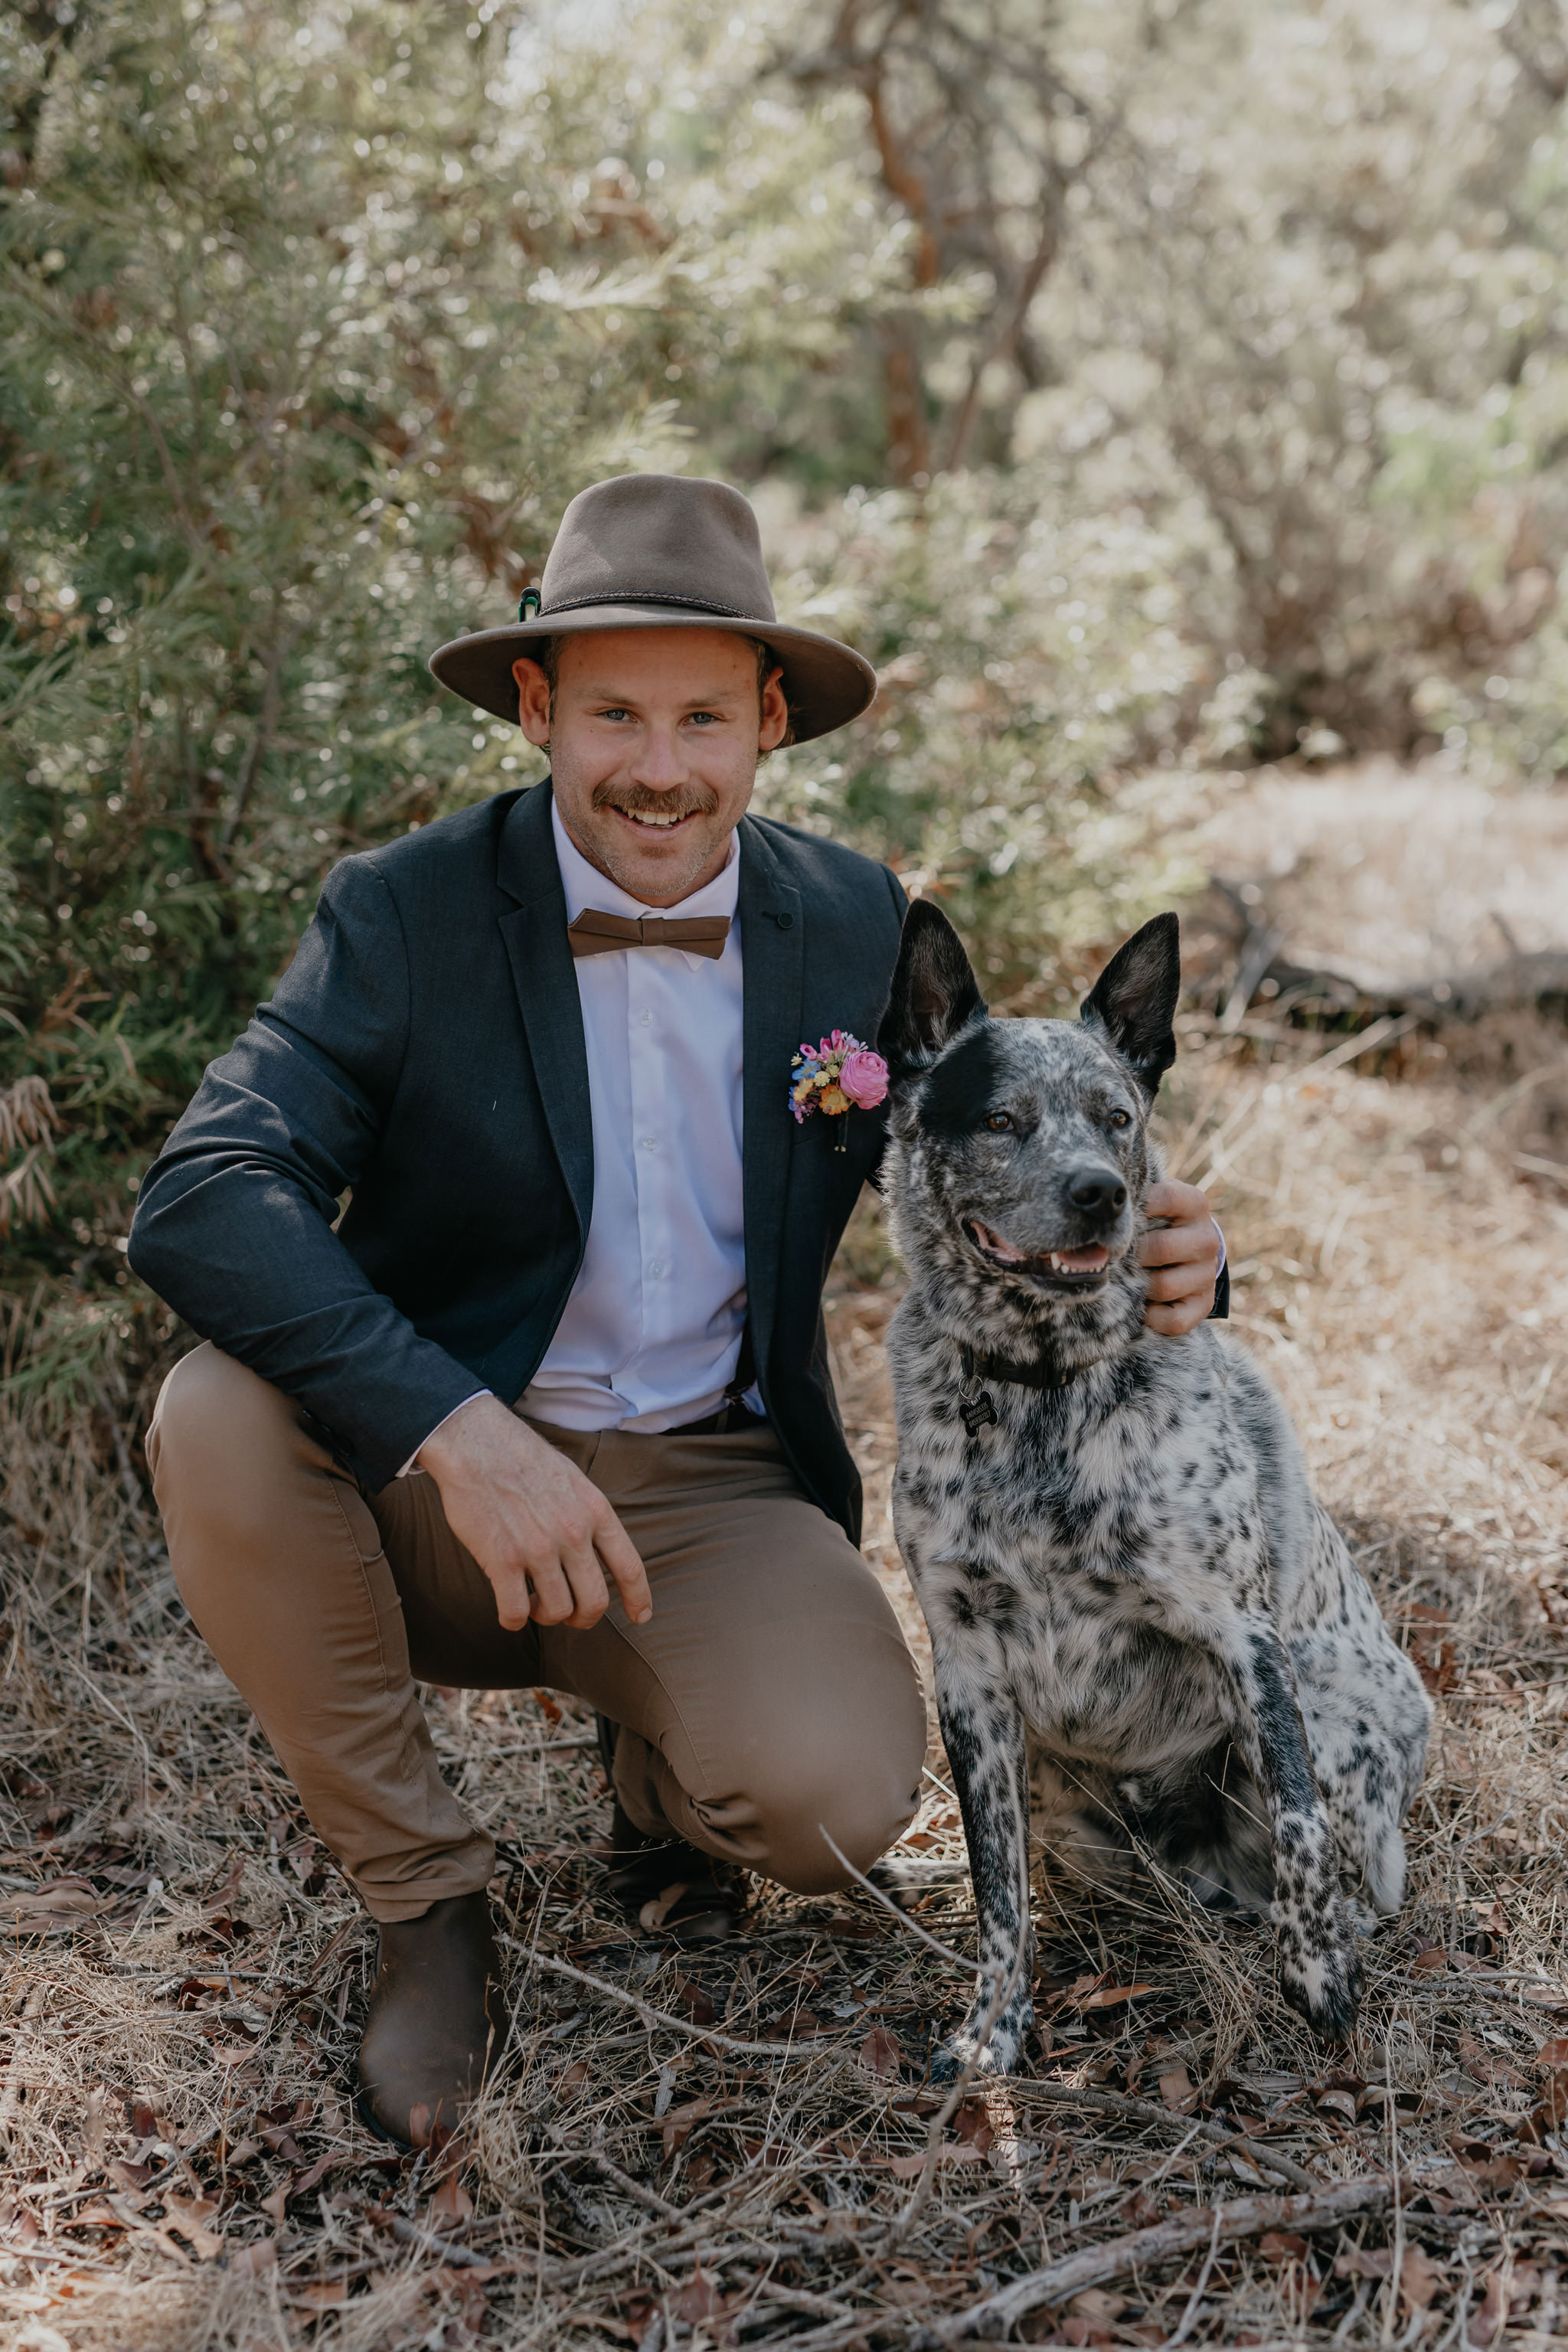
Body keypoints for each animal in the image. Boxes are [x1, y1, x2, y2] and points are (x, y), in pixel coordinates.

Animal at [875, 902, 1432, 2077]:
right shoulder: (969, 1678)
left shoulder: (1245, 1639)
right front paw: (989, 2035)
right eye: (1001, 1119)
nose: (1100, 1193)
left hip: (1333, 1704)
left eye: (1116, 1116)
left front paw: (1318, 1982)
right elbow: (999, 1888)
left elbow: (1302, 1826)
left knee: (1337, 1868)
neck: (1039, 1386)